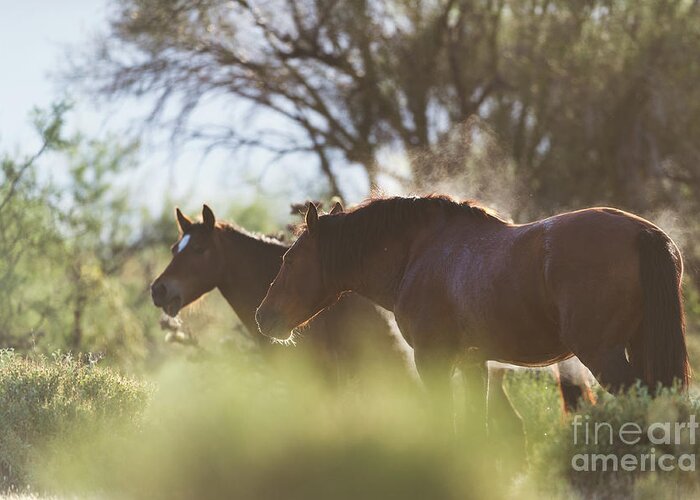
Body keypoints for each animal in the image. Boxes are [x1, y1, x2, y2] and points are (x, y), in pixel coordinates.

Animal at [258, 193, 688, 408]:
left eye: (288, 259)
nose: (264, 316)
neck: (418, 253)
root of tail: (644, 233)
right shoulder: (472, 363)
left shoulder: (433, 360)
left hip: (604, 355)